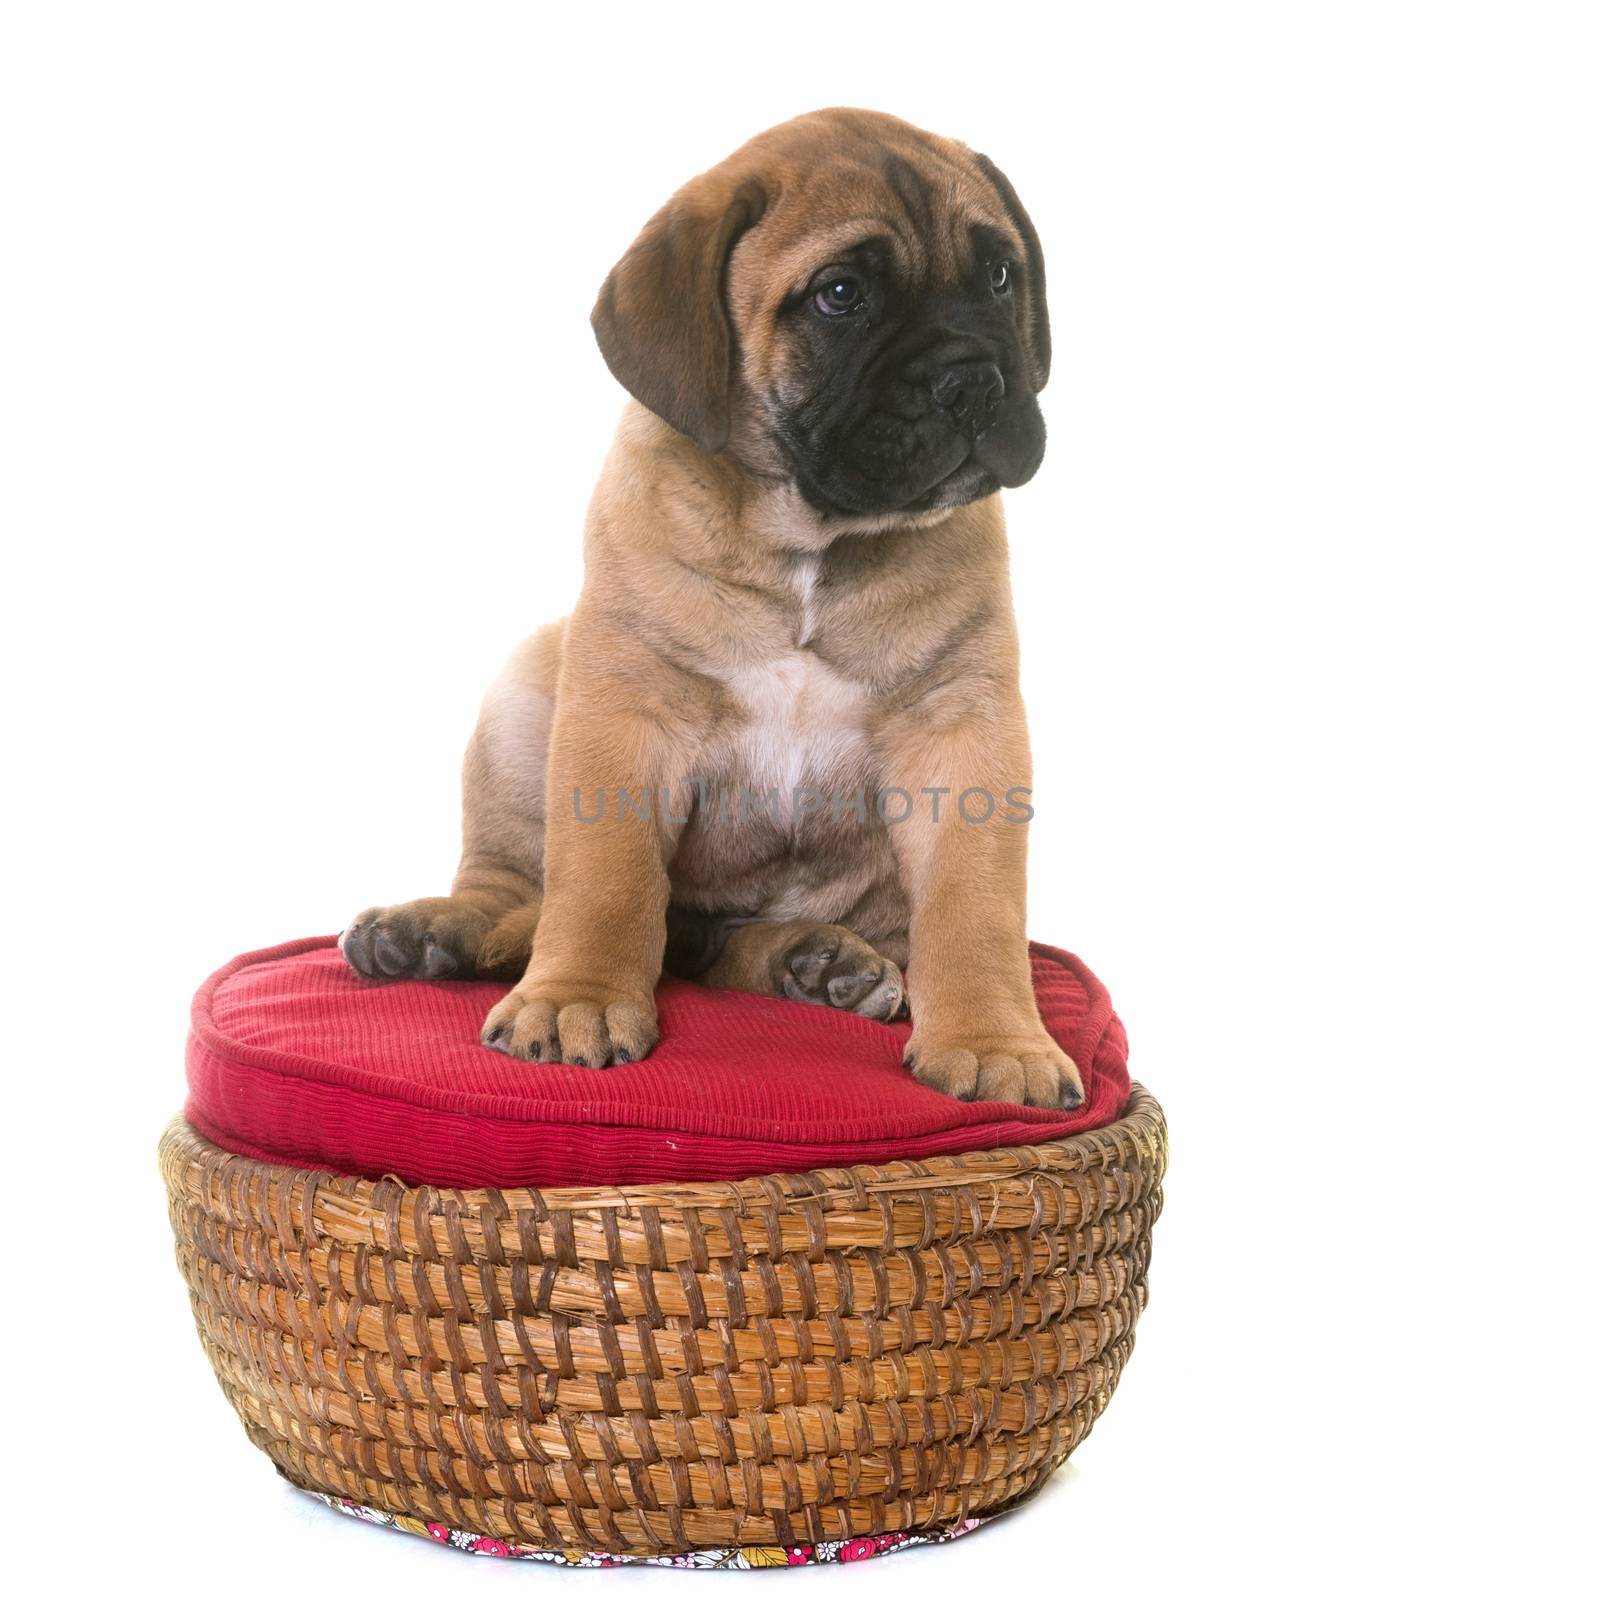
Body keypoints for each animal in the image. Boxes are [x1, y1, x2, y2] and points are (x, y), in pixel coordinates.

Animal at [342, 106, 1081, 1107]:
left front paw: (997, 1041)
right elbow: (604, 884)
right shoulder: (624, 714)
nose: (975, 381)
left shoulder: (962, 731)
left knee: (730, 944)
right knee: (512, 885)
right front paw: (575, 998)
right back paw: (430, 931)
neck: (809, 543)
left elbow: (976, 906)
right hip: (524, 688)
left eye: (1001, 276)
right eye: (841, 295)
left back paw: (820, 962)